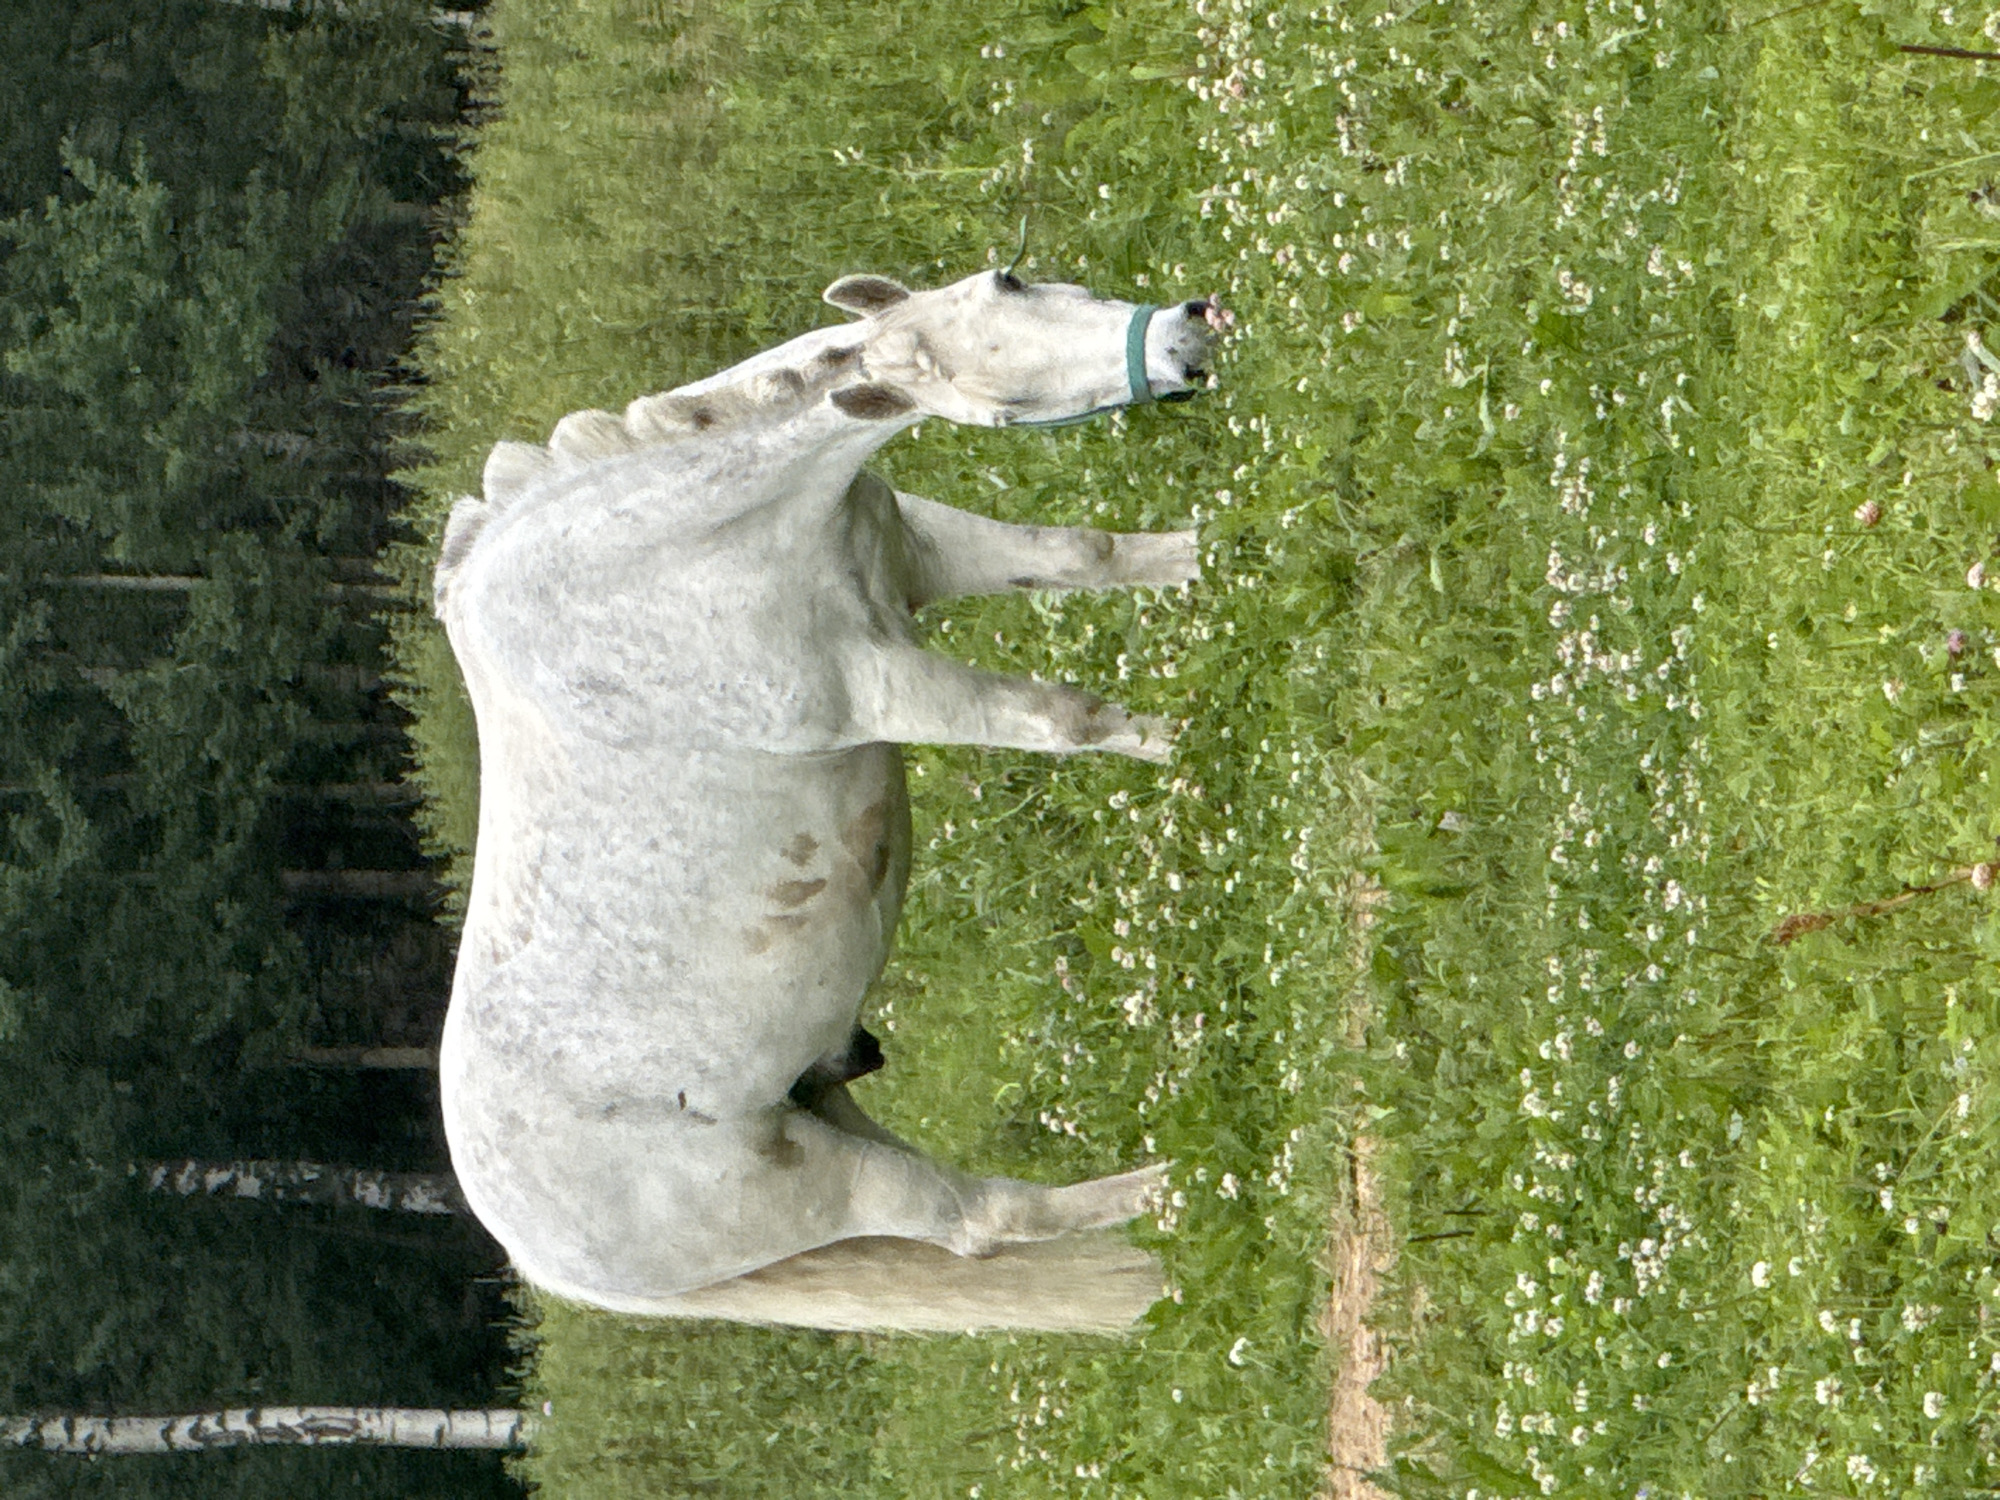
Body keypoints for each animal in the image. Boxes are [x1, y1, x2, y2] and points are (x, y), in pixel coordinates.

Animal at [433, 268, 1227, 1333]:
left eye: (1011, 280)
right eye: (1002, 406)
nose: (1185, 342)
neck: (656, 563)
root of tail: (537, 1252)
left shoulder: (925, 554)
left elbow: (1086, 552)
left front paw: (1218, 546)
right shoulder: (882, 687)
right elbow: (1068, 721)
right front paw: (1198, 743)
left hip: (824, 1107)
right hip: (833, 1184)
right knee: (984, 1220)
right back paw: (1180, 1184)